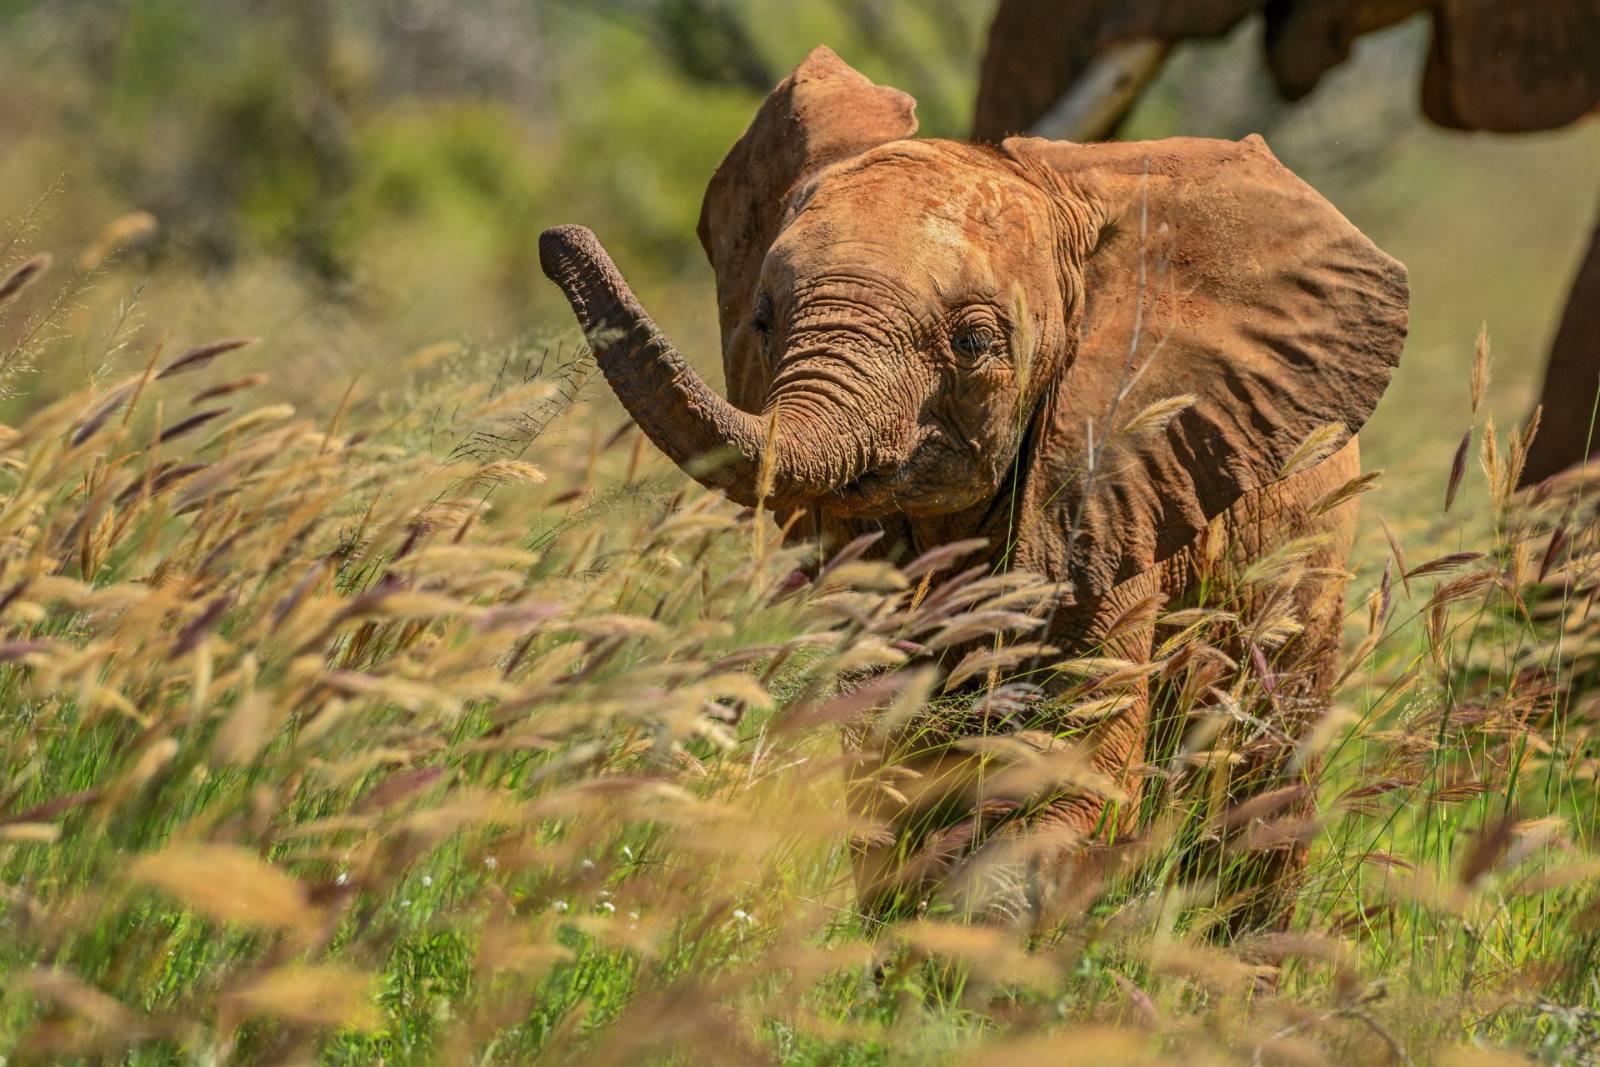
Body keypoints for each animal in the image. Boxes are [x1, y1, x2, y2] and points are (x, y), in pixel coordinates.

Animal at [539, 47, 1409, 929]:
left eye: (976, 342)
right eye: (763, 318)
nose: (556, 237)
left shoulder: (1108, 483)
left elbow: (1074, 768)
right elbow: (895, 775)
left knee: (1265, 763)